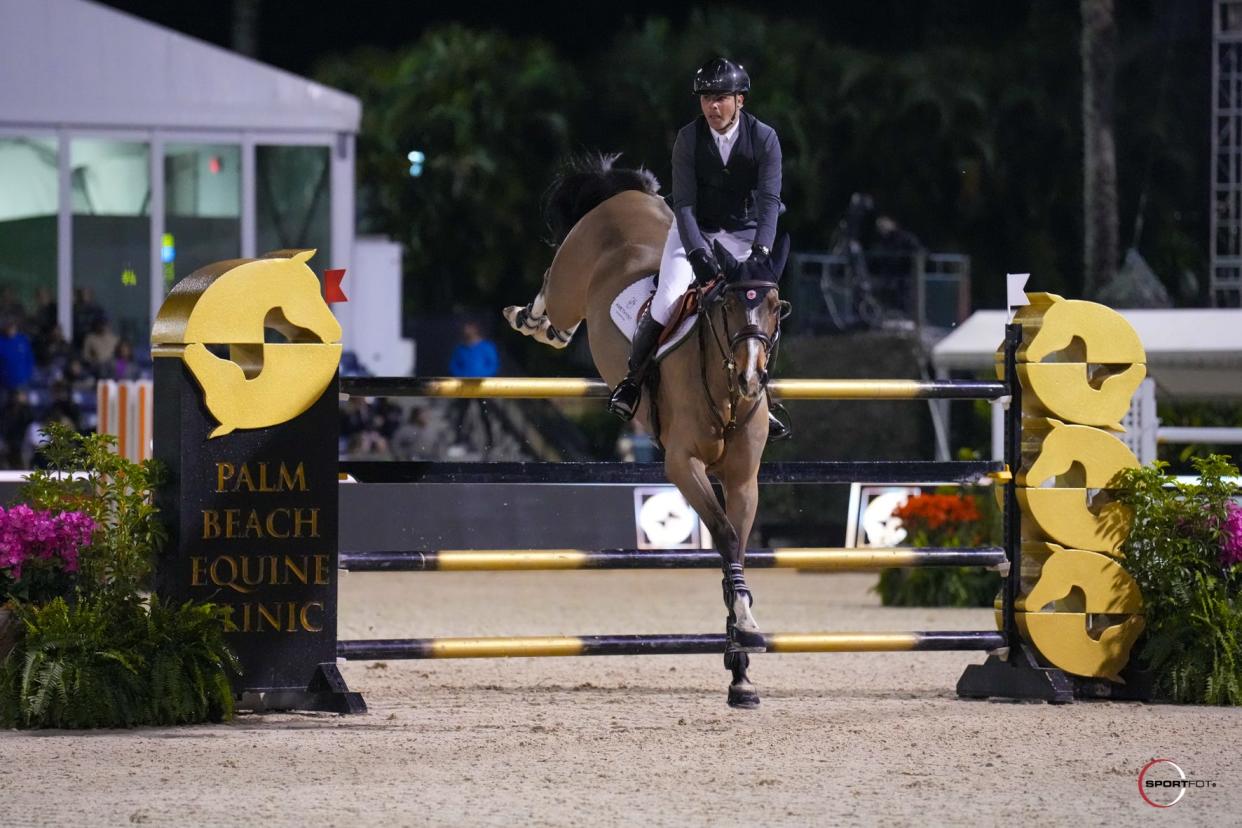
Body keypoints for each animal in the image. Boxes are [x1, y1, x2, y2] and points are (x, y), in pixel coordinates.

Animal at [501, 153, 784, 705]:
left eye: (775, 307)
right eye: (731, 306)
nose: (749, 379)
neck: (722, 386)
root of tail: (623, 193)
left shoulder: (742, 479)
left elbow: (735, 546)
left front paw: (741, 663)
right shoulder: (681, 464)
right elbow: (723, 535)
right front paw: (742, 635)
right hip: (571, 275)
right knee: (552, 291)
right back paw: (530, 319)